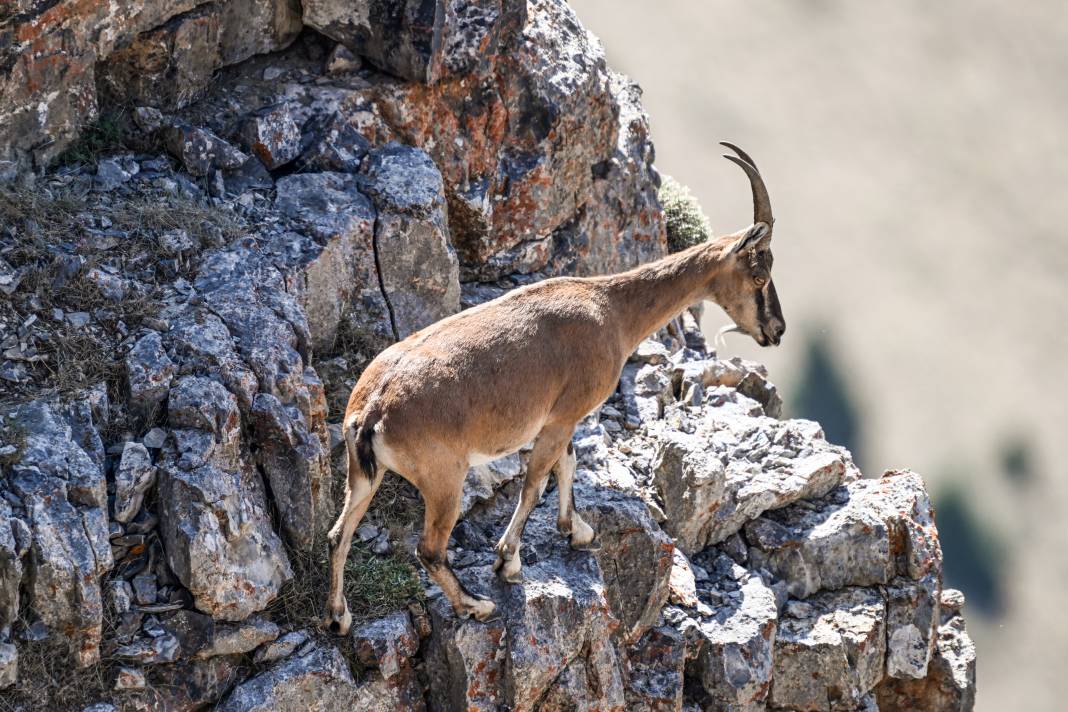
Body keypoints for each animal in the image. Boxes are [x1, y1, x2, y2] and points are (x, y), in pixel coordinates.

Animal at [324, 141, 786, 631]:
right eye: (759, 276)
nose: (776, 330)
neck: (611, 310)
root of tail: (372, 409)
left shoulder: (561, 421)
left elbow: (567, 464)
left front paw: (577, 531)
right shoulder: (562, 417)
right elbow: (537, 481)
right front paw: (508, 562)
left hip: (362, 474)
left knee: (338, 534)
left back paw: (339, 617)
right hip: (443, 478)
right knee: (429, 549)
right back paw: (475, 605)